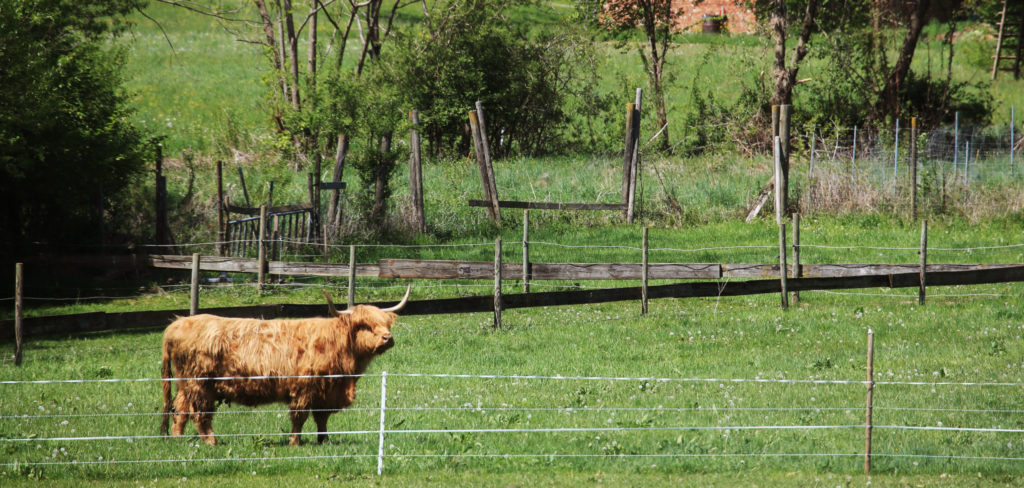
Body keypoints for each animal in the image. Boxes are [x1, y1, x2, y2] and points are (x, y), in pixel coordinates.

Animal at [159, 284, 407, 446]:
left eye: (386, 323)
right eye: (365, 325)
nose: (388, 338)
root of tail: (177, 324)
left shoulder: (326, 392)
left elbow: (322, 418)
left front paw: (324, 440)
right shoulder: (304, 388)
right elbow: (299, 417)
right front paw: (294, 443)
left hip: (185, 383)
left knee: (180, 408)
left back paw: (177, 439)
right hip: (200, 384)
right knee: (200, 413)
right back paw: (212, 442)